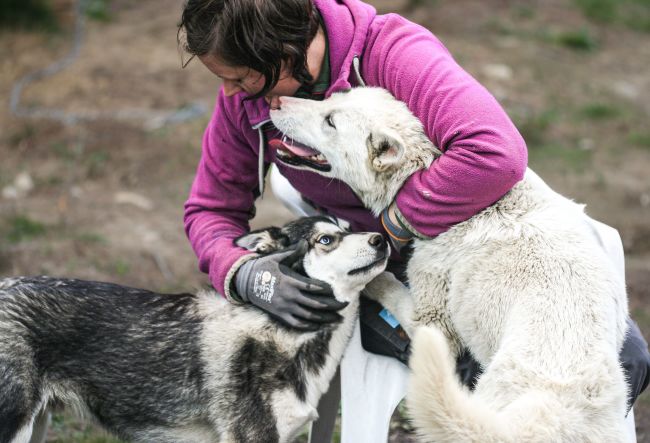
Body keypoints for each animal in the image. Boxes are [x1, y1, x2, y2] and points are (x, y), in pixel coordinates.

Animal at [268, 88, 628, 442]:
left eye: (330, 120)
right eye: (332, 97)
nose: (276, 101)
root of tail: (554, 416)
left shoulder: (432, 322)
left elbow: (389, 285)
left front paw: (371, 277)